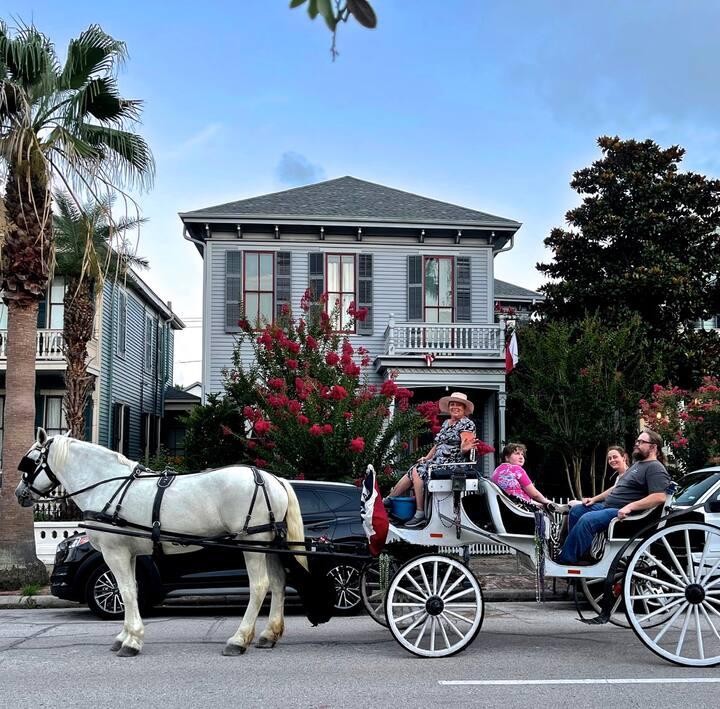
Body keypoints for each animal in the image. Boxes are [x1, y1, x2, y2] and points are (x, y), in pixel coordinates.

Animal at [15, 429, 335, 657]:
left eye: (29, 462)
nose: (19, 494)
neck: (109, 486)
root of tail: (272, 478)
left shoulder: (114, 552)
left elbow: (126, 592)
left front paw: (132, 641)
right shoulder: (130, 553)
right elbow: (131, 591)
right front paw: (125, 636)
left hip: (251, 542)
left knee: (260, 586)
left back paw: (239, 639)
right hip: (267, 543)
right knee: (279, 584)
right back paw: (269, 635)